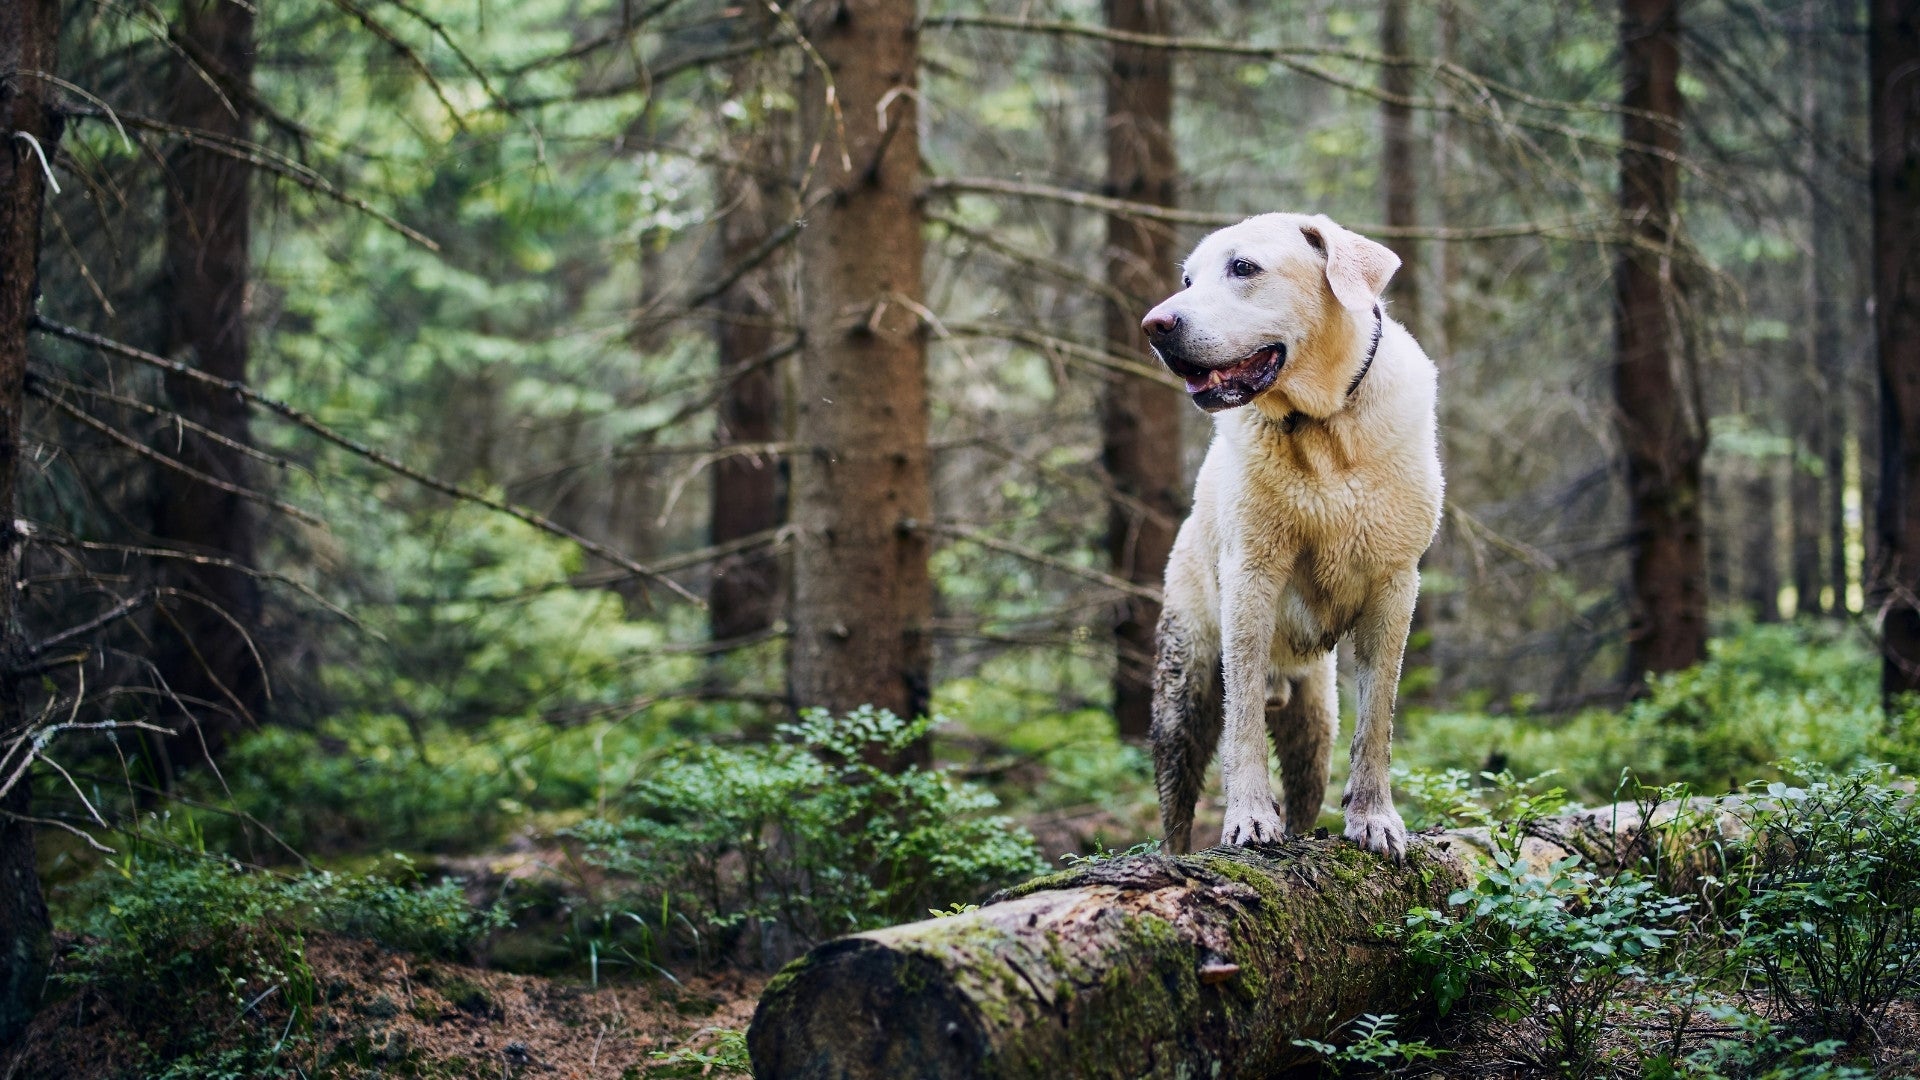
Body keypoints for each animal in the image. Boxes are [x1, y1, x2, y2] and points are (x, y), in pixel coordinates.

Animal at [1142, 213, 1442, 860]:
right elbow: (1244, 721)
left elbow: (1377, 718)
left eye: (1243, 268)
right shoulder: (1251, 580)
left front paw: (1375, 819)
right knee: (1177, 807)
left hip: (1315, 721)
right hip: (1183, 691)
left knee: (1310, 780)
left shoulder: (1395, 585)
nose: (1155, 324)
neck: (1324, 428)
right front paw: (1250, 818)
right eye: (1187, 279)